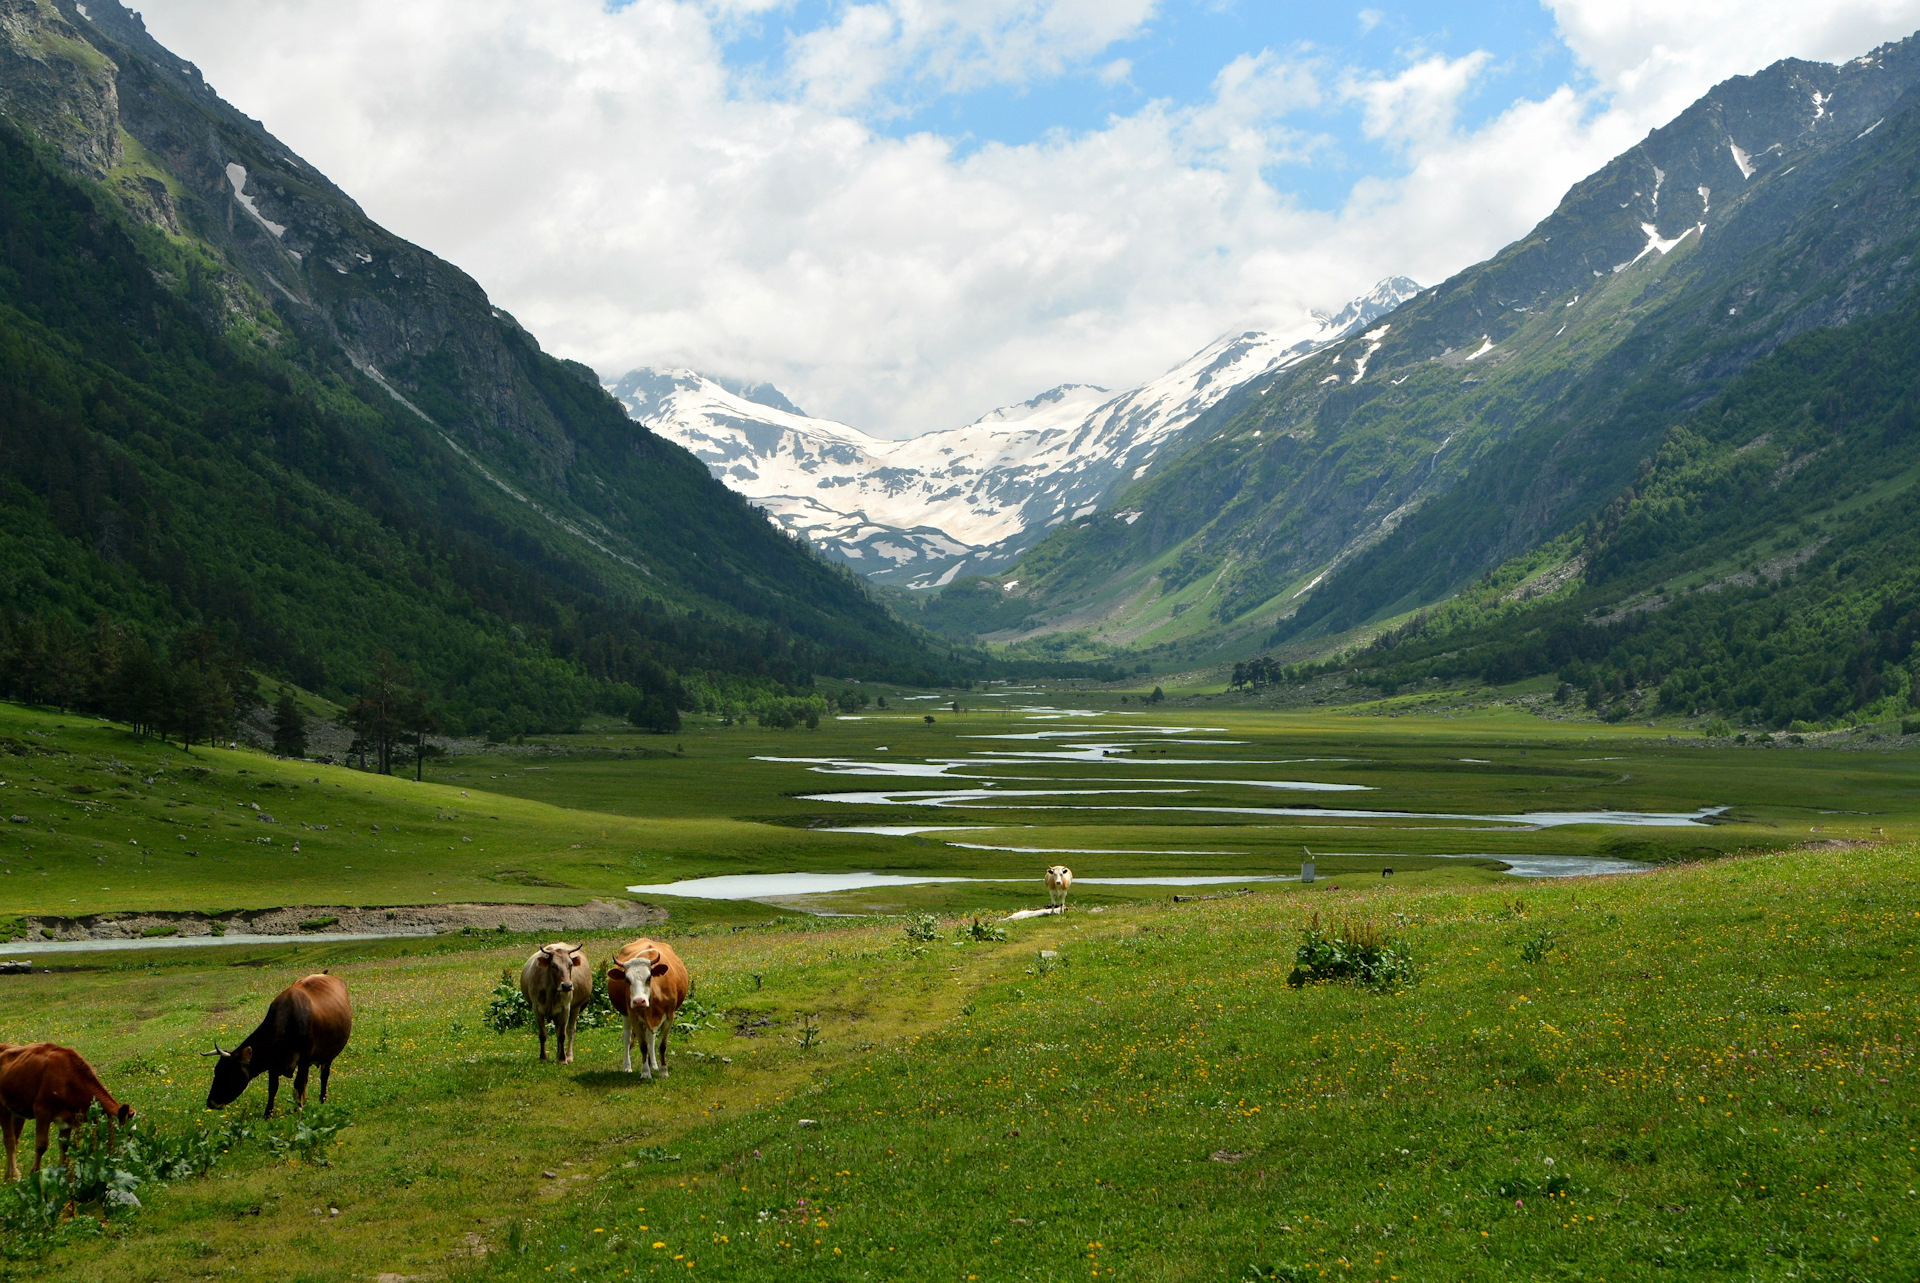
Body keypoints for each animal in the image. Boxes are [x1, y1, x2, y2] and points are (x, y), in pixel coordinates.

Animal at [0, 1037, 132, 1175]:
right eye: (124, 1134)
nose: (123, 1162)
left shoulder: (68, 1119)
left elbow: (64, 1146)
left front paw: (63, 1173)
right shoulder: (42, 1111)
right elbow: (41, 1145)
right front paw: (34, 1173)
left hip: (17, 1110)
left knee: (15, 1138)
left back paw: (9, 1175)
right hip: (2, 1107)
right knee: (9, 1139)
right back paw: (14, 1175)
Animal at [205, 971, 353, 1113]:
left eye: (229, 1072)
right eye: (216, 1071)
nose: (211, 1102)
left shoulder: (304, 1059)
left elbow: (298, 1084)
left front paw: (298, 1110)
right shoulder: (273, 1062)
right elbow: (273, 1088)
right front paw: (268, 1114)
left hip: (328, 1055)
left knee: (324, 1075)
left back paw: (322, 1100)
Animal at [606, 937, 691, 1075]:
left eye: (649, 977)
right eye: (627, 980)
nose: (639, 1001)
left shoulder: (670, 1016)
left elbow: (661, 1045)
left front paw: (663, 1071)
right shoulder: (634, 1016)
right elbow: (643, 1046)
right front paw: (645, 1072)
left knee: (651, 1037)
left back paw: (654, 1064)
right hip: (625, 1013)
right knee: (627, 1037)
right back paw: (627, 1066)